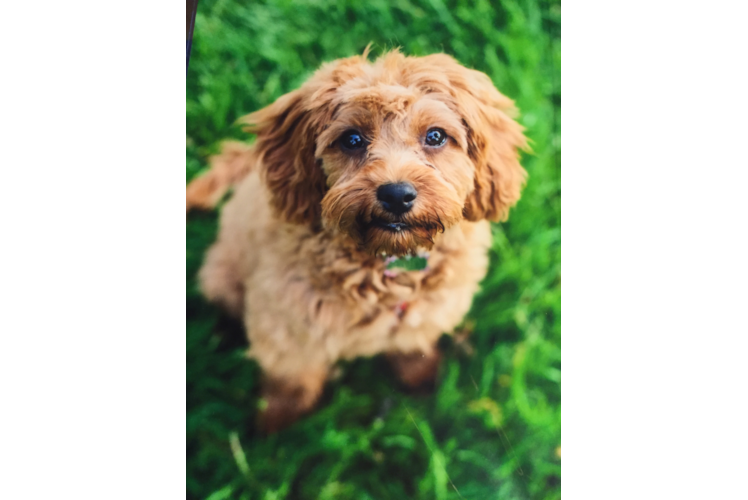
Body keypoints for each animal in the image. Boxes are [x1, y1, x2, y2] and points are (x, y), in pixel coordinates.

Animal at [185, 50, 528, 434]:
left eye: (436, 136)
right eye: (351, 139)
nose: (396, 195)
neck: (385, 264)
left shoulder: (427, 312)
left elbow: (413, 345)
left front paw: (422, 378)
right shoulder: (286, 325)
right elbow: (292, 379)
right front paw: (275, 424)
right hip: (221, 275)